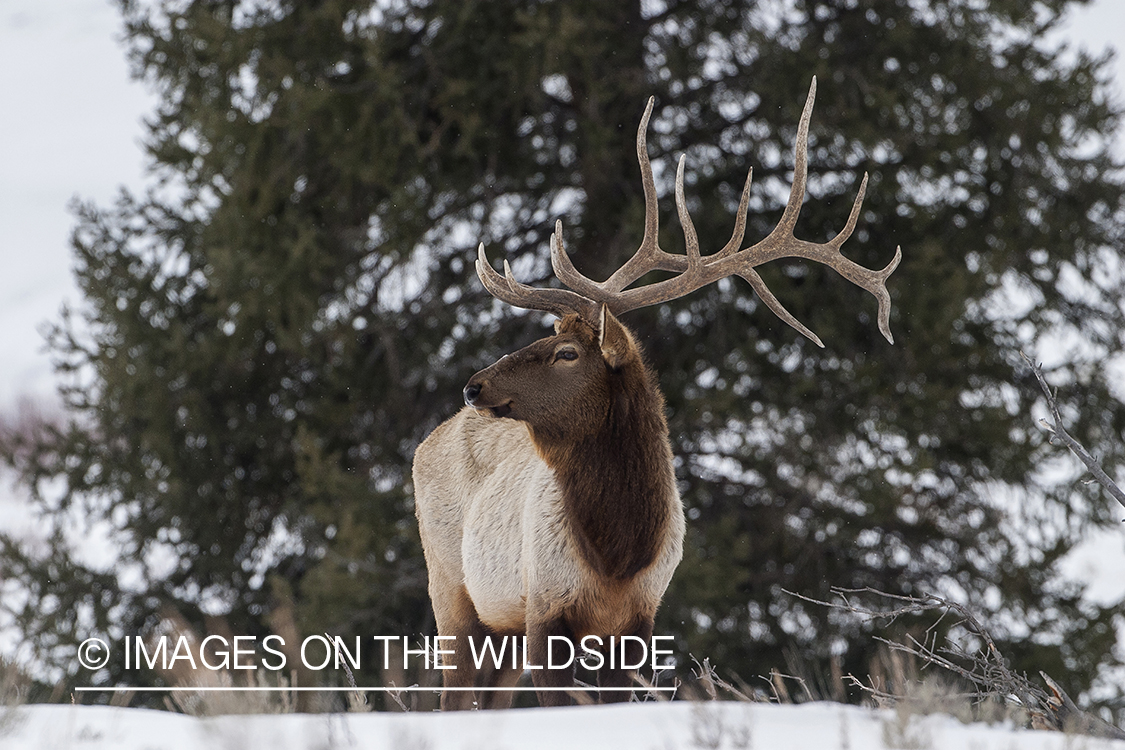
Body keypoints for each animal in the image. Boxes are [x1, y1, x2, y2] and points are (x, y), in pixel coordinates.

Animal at [409, 79, 900, 715]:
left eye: (567, 352)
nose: (474, 385)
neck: (620, 551)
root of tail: (424, 444)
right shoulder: (544, 602)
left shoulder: (639, 616)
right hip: (452, 587)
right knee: (452, 695)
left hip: (498, 626)